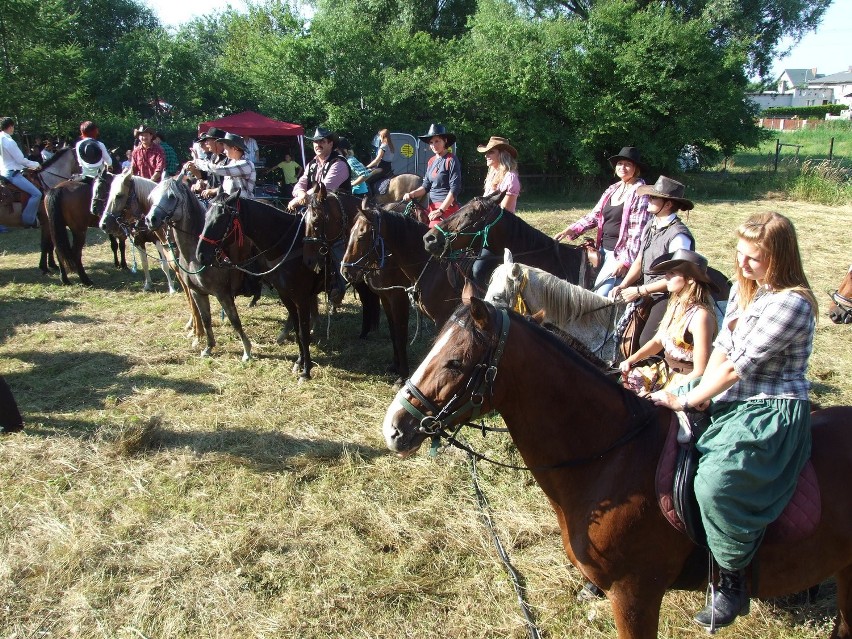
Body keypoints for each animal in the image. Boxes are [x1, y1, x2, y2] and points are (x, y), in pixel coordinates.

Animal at [145, 178, 253, 362]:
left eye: (171, 196)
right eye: (153, 196)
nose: (151, 219)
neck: (193, 256)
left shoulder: (222, 293)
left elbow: (234, 320)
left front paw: (246, 350)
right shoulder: (197, 292)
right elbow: (206, 318)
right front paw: (208, 346)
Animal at [198, 190, 332, 380]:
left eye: (221, 219)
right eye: (205, 216)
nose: (200, 255)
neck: (290, 246)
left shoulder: (302, 298)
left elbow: (303, 333)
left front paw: (306, 371)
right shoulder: (286, 296)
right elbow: (297, 330)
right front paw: (299, 362)